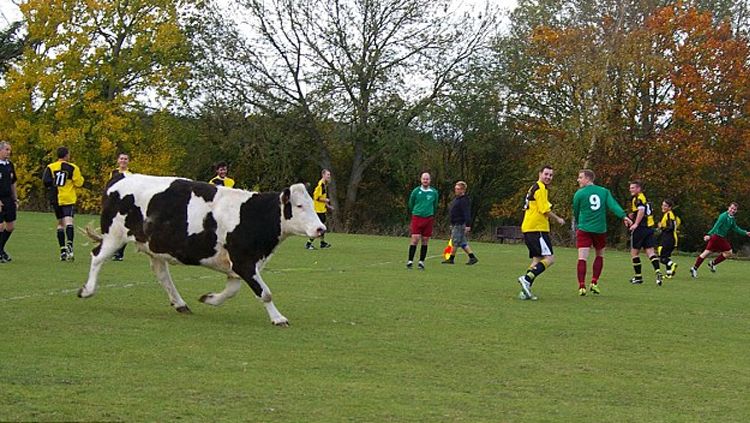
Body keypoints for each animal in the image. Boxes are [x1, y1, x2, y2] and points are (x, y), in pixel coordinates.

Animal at [78, 174, 328, 326]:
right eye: (299, 206)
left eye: (311, 204)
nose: (320, 229)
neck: (254, 214)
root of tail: (122, 176)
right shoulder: (244, 262)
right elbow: (265, 292)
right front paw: (278, 319)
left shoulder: (238, 265)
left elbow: (232, 291)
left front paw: (210, 299)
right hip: (114, 235)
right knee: (97, 257)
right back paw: (87, 290)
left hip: (153, 245)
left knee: (162, 274)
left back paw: (180, 304)